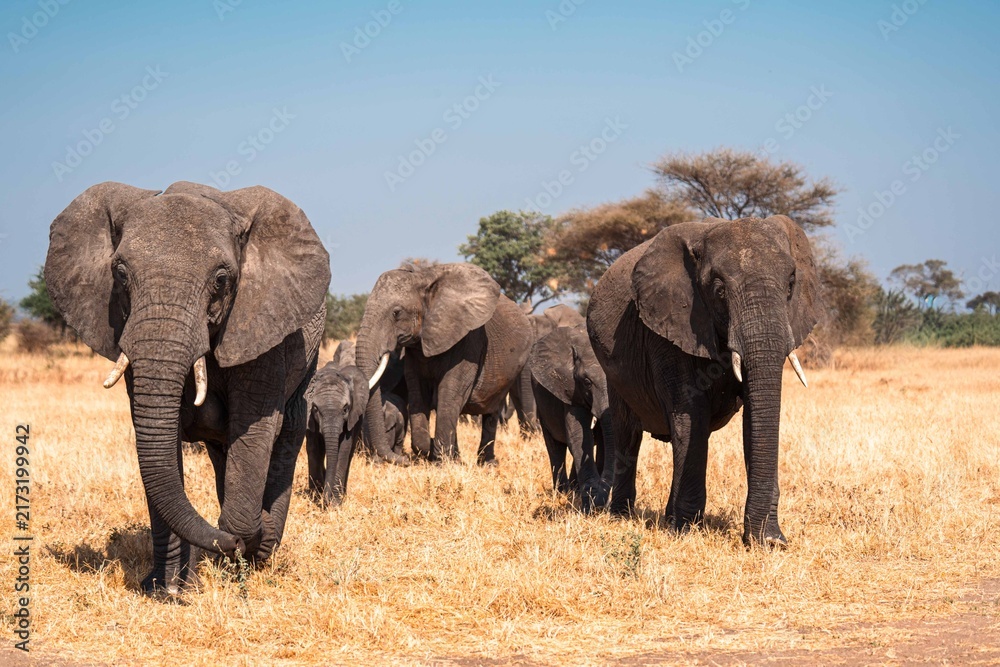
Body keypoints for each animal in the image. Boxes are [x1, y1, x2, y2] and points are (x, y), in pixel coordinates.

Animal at [44, 181, 330, 593]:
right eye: (120, 274)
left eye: (221, 280)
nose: (235, 541)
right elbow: (156, 438)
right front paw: (168, 587)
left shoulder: (263, 327)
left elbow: (256, 429)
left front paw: (243, 553)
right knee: (222, 451)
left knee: (286, 433)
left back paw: (263, 551)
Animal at [355, 262, 533, 465]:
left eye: (396, 313)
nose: (405, 460)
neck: (423, 278)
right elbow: (418, 394)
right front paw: (434, 452)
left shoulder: (468, 342)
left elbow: (450, 394)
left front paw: (440, 459)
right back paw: (458, 458)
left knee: (491, 412)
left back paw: (486, 464)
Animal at [528, 323, 613, 512]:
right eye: (587, 382)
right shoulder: (569, 389)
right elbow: (578, 434)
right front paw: (589, 500)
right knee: (555, 446)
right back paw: (562, 492)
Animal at [587, 216, 818, 546]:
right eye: (719, 291)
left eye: (790, 286)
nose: (773, 541)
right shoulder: (668, 327)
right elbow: (690, 413)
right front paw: (685, 532)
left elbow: (753, 417)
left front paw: (766, 540)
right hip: (615, 372)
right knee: (628, 433)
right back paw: (621, 516)